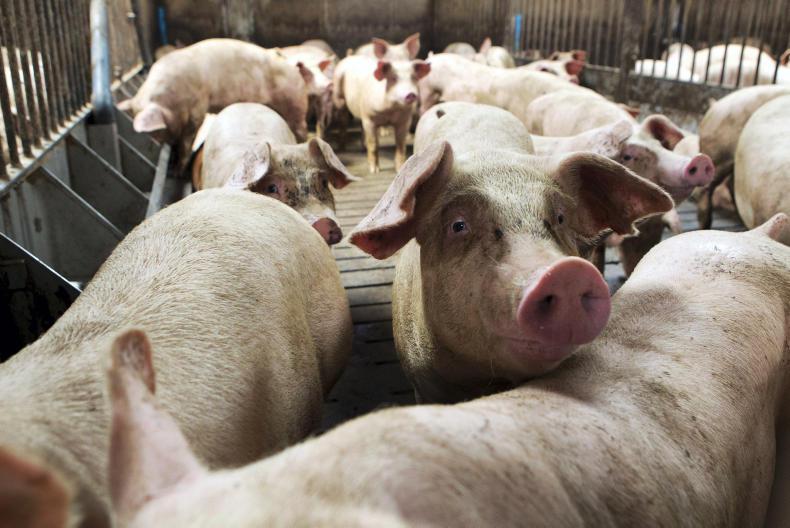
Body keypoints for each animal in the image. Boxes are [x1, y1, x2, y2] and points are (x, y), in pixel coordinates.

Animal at [117, 39, 310, 170]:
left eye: (156, 131)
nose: (161, 144)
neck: (172, 99)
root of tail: (293, 66)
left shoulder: (198, 106)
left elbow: (188, 139)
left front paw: (177, 170)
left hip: (295, 104)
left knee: (302, 129)